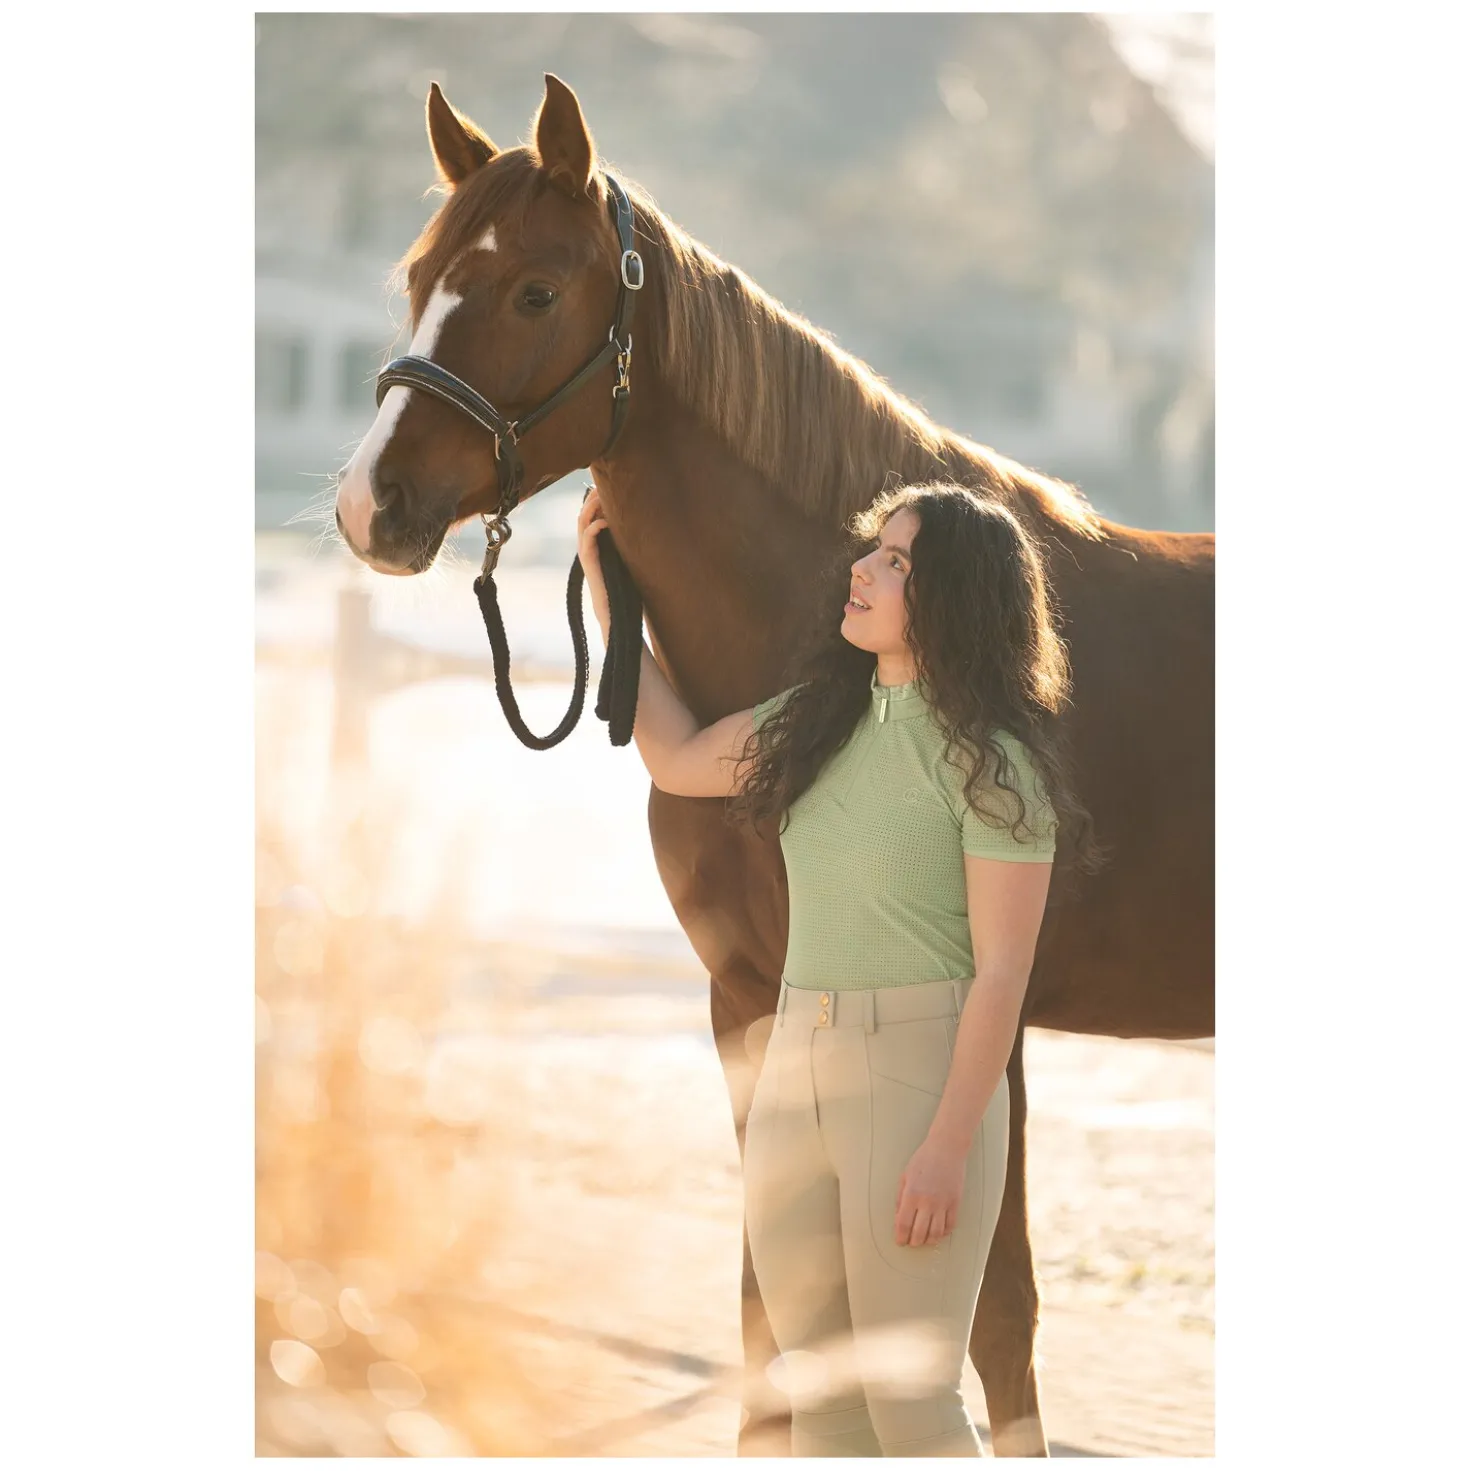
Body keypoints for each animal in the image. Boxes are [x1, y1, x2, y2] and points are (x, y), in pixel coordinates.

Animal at [333, 73, 1214, 1457]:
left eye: (533, 291)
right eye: (418, 276)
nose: (373, 505)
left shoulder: (993, 1021)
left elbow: (994, 1324)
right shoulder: (751, 1001)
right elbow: (772, 1320)